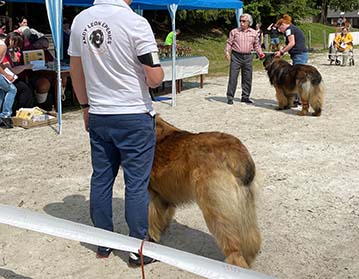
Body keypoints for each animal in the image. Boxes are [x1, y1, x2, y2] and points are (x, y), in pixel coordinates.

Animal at [149, 116, 262, 270]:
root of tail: (235, 153)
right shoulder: (164, 196)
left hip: (215, 210)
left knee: (234, 250)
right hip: (244, 207)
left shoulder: (150, 194)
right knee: (252, 239)